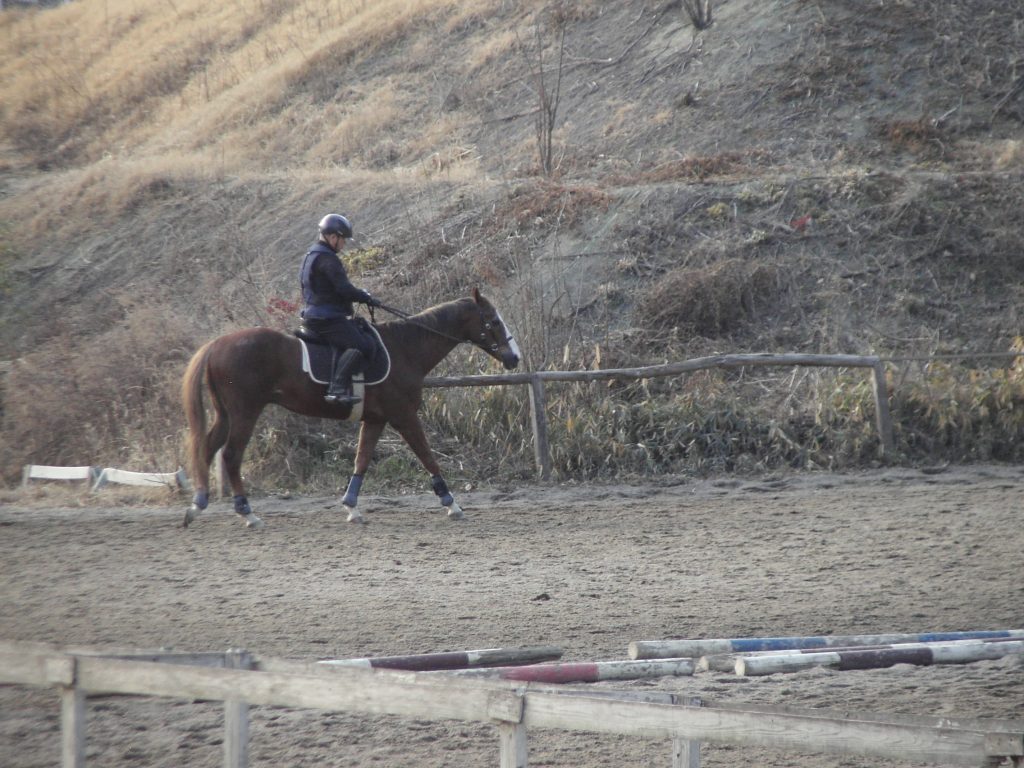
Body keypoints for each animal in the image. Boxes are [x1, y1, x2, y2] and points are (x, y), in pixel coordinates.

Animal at [181, 288, 521, 529]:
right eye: (493, 321)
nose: (514, 357)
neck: (406, 347)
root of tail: (217, 343)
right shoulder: (404, 416)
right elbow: (427, 456)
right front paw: (452, 504)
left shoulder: (376, 420)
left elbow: (362, 459)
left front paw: (352, 507)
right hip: (245, 412)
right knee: (230, 455)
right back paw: (247, 513)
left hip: (226, 413)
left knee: (207, 448)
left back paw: (197, 505)